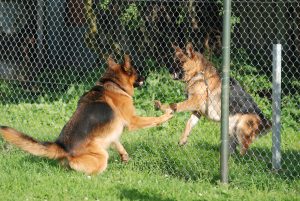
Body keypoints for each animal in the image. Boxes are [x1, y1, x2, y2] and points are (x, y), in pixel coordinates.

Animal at [0, 55, 173, 174]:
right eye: (136, 72)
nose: (145, 77)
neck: (113, 84)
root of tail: (62, 146)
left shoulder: (112, 131)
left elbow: (117, 141)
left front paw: (124, 156)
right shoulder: (133, 121)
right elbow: (154, 119)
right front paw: (167, 115)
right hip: (101, 156)